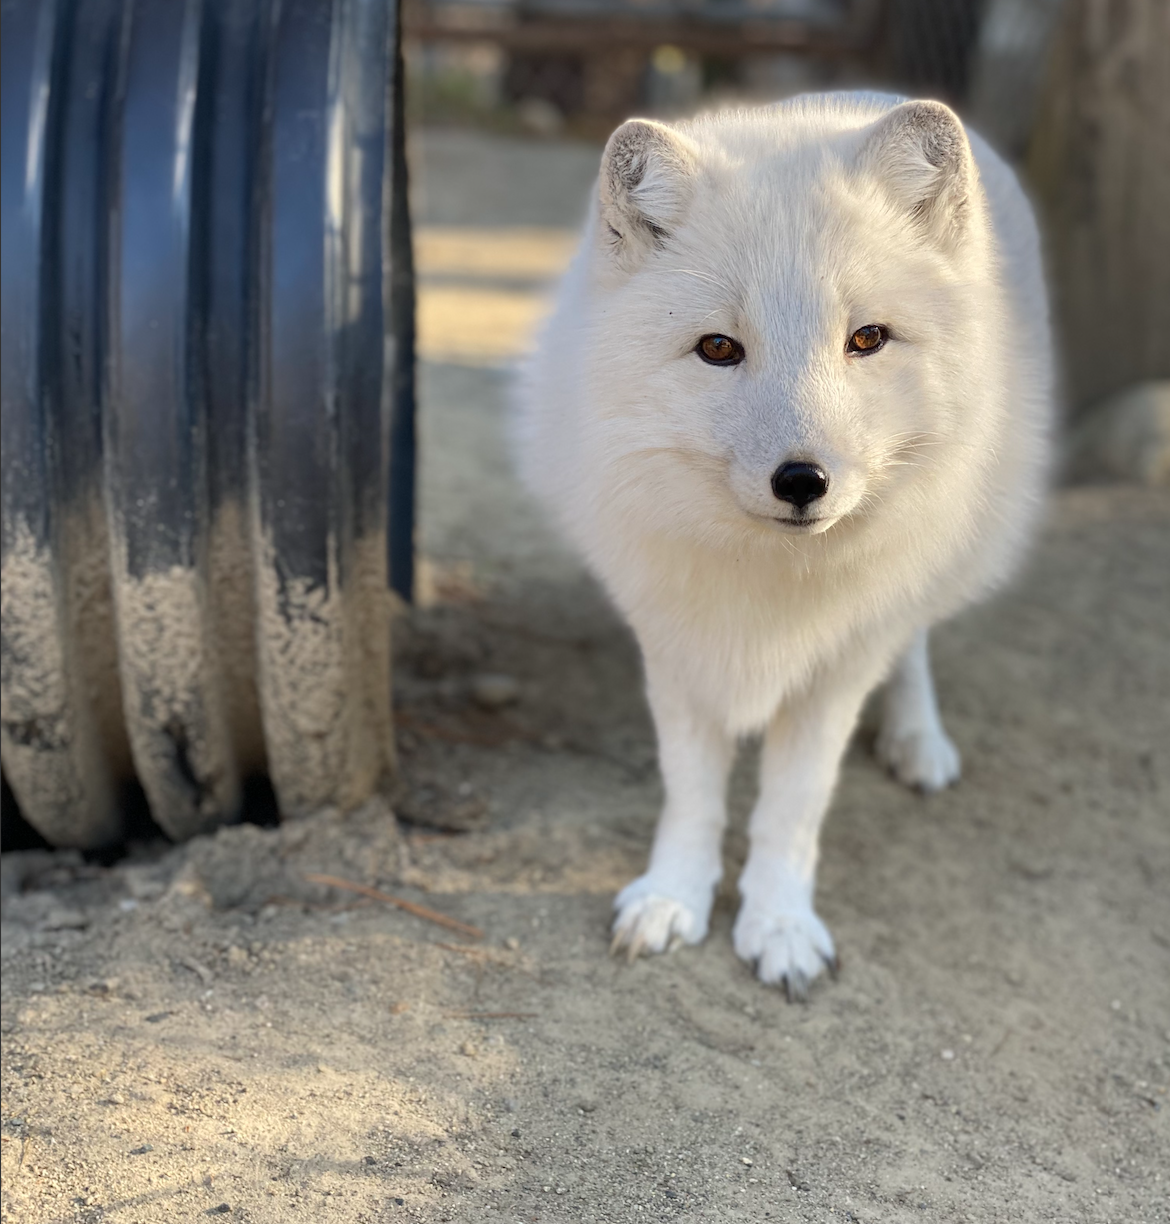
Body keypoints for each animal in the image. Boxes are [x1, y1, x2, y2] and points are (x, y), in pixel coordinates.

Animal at [516, 92, 1053, 998]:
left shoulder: (838, 669)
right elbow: (692, 792)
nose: (802, 481)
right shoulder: (675, 643)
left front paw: (778, 924)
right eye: (718, 348)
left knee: (914, 634)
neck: (775, 577)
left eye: (867, 339)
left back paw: (917, 737)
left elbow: (793, 810)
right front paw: (674, 895)